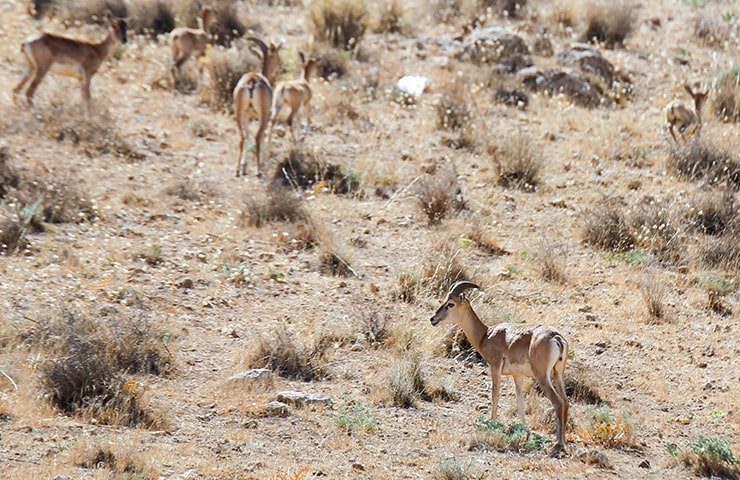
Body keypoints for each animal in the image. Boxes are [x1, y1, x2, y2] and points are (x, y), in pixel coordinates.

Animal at [233, 36, 282, 178]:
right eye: (277, 56)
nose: (277, 71)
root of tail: (251, 83)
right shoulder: (264, 116)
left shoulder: (247, 116)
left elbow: (247, 135)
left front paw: (244, 167)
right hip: (263, 116)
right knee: (257, 137)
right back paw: (259, 171)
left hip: (239, 114)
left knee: (242, 137)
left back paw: (237, 171)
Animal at [430, 280, 568, 456]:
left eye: (450, 304)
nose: (433, 319)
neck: (486, 334)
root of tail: (556, 337)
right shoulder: (517, 376)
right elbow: (520, 402)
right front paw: (525, 433)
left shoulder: (495, 367)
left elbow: (494, 395)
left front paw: (491, 424)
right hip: (558, 374)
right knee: (566, 401)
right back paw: (563, 443)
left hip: (543, 377)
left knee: (558, 402)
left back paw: (558, 444)